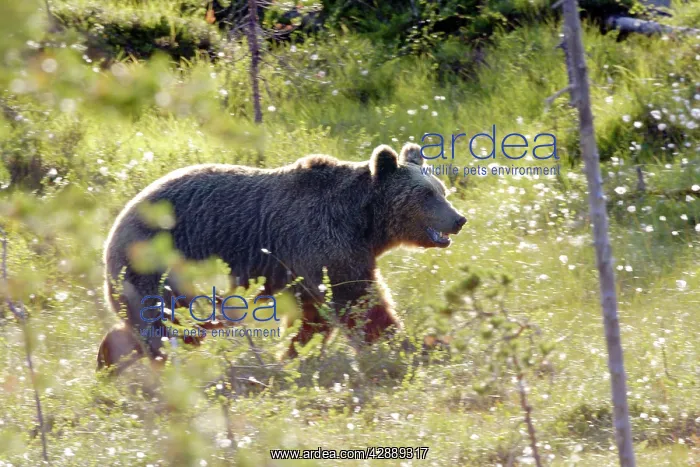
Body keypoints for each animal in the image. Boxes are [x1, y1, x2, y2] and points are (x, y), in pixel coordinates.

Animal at [96, 142, 466, 372]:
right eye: (427, 194)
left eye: (441, 189)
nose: (458, 219)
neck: (365, 223)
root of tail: (115, 225)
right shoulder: (323, 241)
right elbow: (357, 299)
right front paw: (407, 345)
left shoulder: (310, 259)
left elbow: (315, 314)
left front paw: (292, 352)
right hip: (158, 260)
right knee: (160, 323)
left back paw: (108, 358)